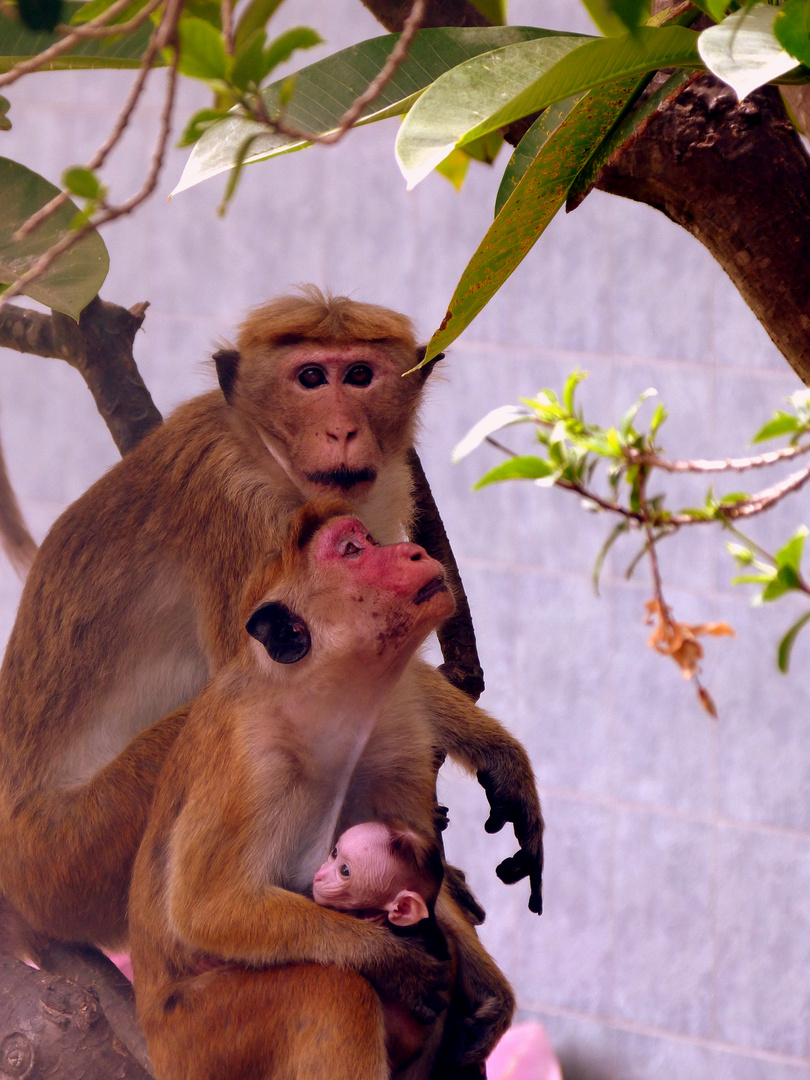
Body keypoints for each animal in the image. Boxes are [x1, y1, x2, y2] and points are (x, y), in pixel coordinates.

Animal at [131, 503, 514, 1080]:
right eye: (352, 552)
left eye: (367, 539)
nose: (414, 552)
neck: (317, 705)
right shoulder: (251, 764)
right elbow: (207, 908)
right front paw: (389, 959)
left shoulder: (387, 738)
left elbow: (418, 870)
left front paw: (490, 994)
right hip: (197, 1038)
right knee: (329, 989)